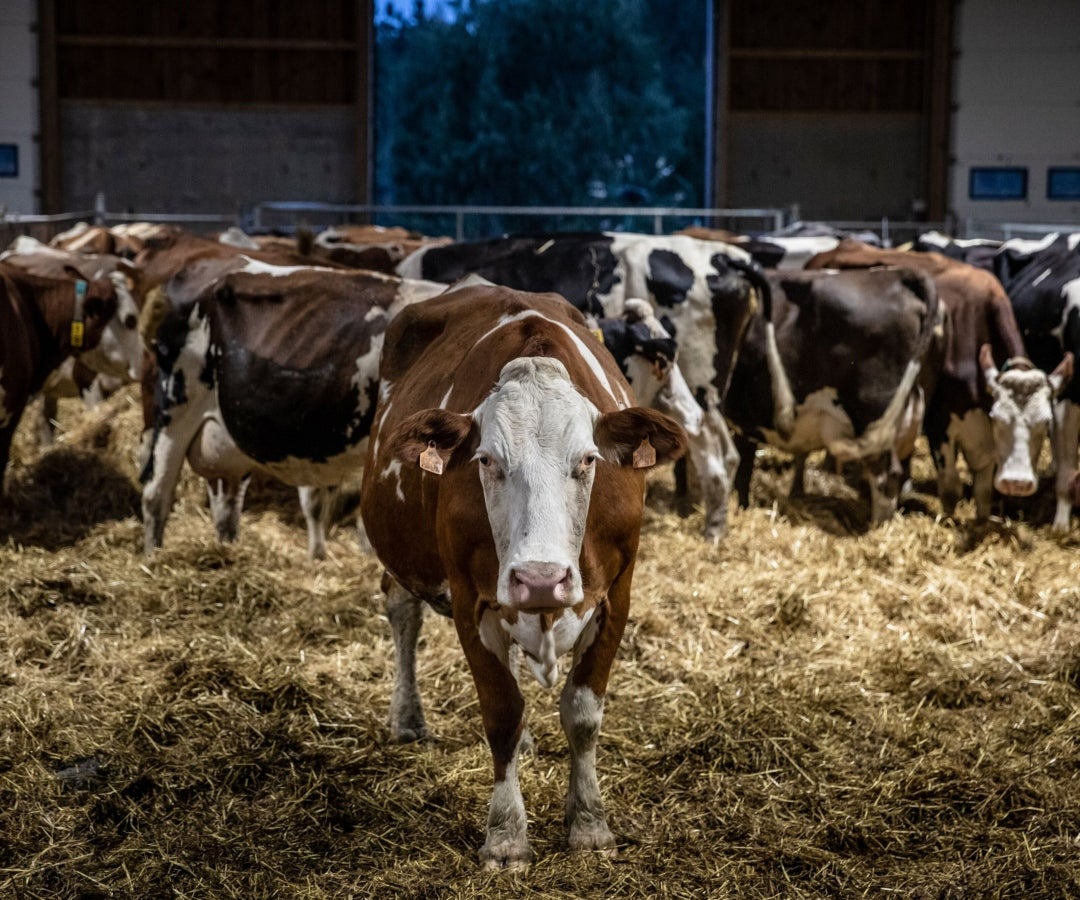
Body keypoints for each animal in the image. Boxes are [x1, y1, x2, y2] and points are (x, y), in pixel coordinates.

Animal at [359, 283, 687, 867]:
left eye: (587, 459)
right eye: (487, 460)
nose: (539, 579)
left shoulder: (617, 594)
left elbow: (582, 712)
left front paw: (589, 824)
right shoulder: (469, 599)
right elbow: (501, 711)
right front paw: (506, 835)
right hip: (403, 556)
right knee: (402, 613)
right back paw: (408, 718)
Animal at [806, 239, 1073, 525]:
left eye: (1045, 423)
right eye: (1000, 419)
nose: (1017, 483)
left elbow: (983, 490)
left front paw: (981, 522)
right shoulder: (938, 421)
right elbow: (951, 486)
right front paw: (946, 521)